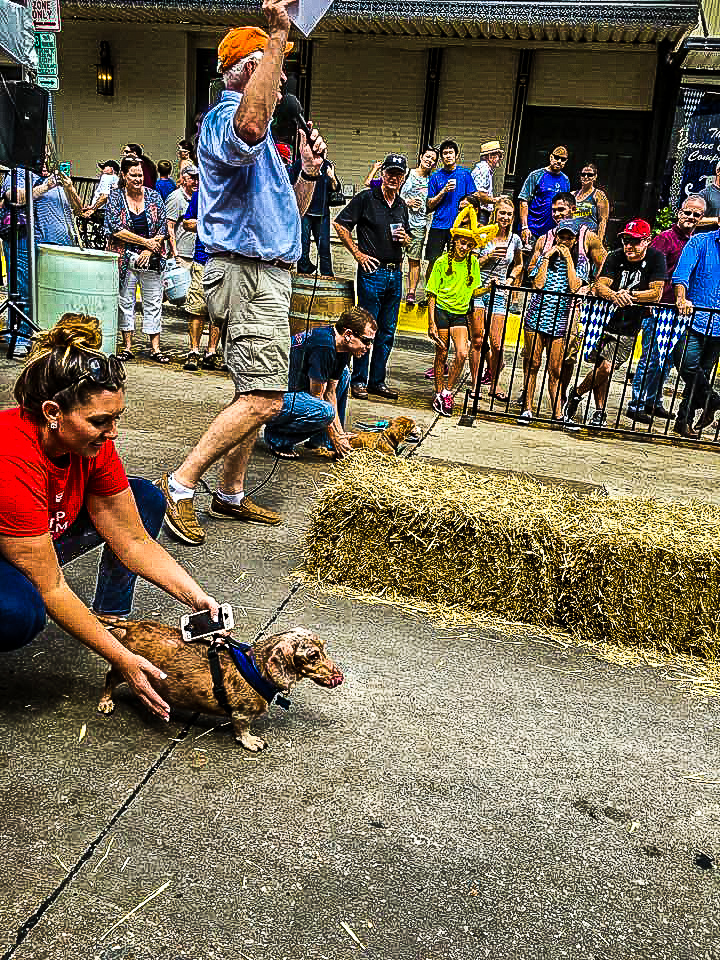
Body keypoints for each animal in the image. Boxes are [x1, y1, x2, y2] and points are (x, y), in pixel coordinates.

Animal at [97, 624, 344, 752]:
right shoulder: (241, 714)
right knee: (109, 679)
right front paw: (251, 742)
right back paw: (106, 702)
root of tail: (134, 624)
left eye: (324, 648)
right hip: (125, 669)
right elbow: (242, 730)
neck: (256, 667)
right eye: (313, 656)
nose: (340, 677)